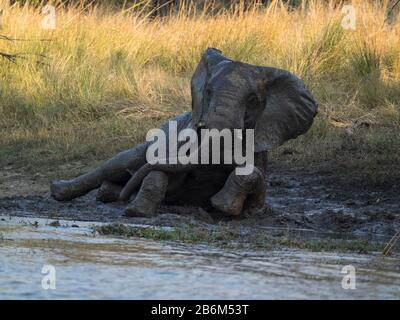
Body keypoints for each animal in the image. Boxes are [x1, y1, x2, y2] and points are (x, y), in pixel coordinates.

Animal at [50, 47, 318, 218]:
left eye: (253, 101)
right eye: (207, 92)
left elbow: (254, 174)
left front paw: (224, 207)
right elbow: (160, 170)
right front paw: (136, 212)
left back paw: (108, 194)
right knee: (118, 164)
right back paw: (60, 190)